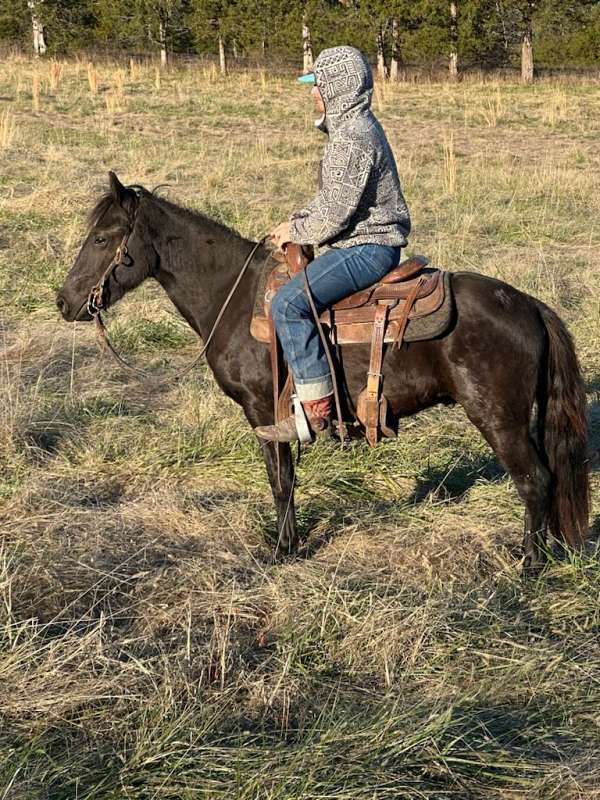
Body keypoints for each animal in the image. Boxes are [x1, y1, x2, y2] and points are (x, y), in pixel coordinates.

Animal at [56, 173, 592, 576]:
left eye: (102, 238)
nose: (64, 302)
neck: (233, 296)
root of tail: (529, 304)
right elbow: (287, 479)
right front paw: (290, 543)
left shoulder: (263, 412)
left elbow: (280, 480)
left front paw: (280, 550)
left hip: (498, 418)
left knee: (534, 480)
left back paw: (527, 566)